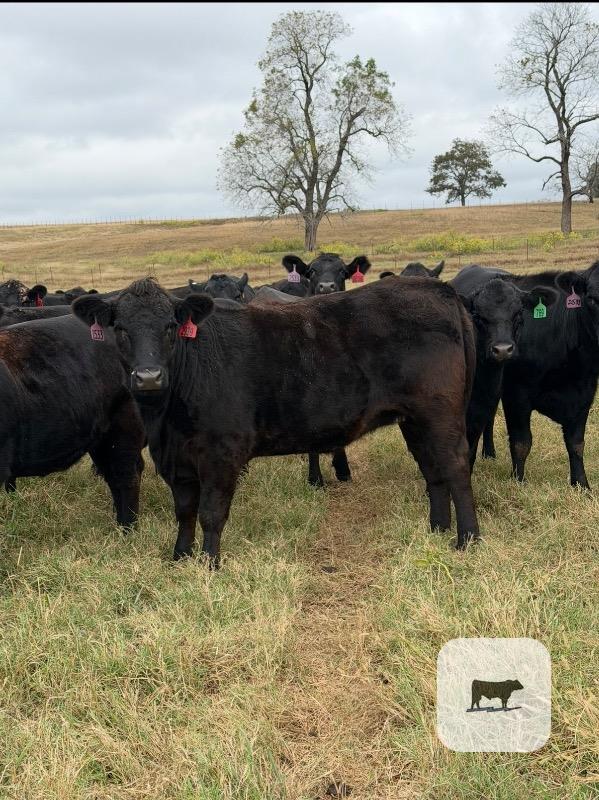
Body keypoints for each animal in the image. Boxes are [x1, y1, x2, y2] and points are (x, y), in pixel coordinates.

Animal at [73, 276, 480, 565]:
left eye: (171, 326)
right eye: (121, 328)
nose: (148, 376)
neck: (166, 418)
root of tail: (437, 288)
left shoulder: (221, 453)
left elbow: (211, 513)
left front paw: (210, 565)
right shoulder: (177, 459)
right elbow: (184, 511)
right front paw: (179, 558)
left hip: (439, 413)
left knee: (456, 467)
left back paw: (468, 540)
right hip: (415, 419)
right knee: (433, 470)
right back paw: (436, 529)